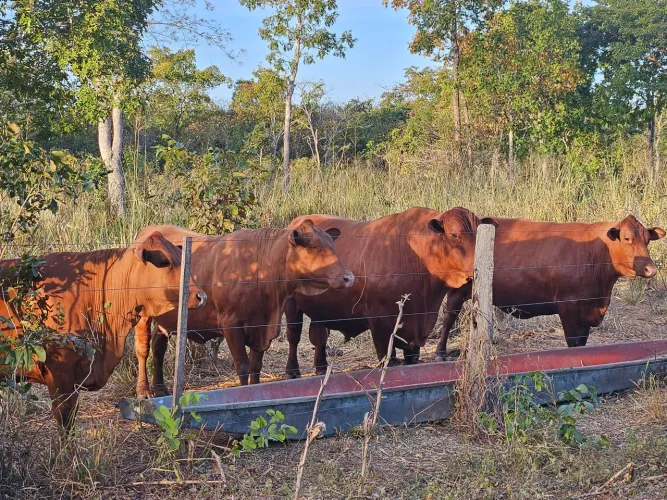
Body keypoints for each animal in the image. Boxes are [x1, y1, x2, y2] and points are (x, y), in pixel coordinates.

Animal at [132, 220, 354, 394]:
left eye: (332, 245)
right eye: (315, 247)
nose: (348, 277)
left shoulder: (261, 328)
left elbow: (255, 366)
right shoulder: (231, 325)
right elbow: (243, 366)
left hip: (164, 319)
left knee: (158, 346)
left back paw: (160, 388)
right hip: (143, 315)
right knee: (143, 349)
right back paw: (144, 391)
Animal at [283, 206, 497, 379]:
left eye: (479, 233)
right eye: (454, 235)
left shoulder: (415, 326)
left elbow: (412, 358)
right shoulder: (379, 323)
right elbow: (388, 359)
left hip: (320, 309)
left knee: (319, 336)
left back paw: (321, 367)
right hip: (291, 304)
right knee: (293, 336)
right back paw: (292, 371)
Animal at [435, 215, 666, 360]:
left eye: (648, 240)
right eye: (627, 238)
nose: (651, 268)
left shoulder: (588, 309)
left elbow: (582, 342)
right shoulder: (568, 306)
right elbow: (574, 343)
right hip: (458, 289)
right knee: (449, 315)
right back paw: (440, 352)